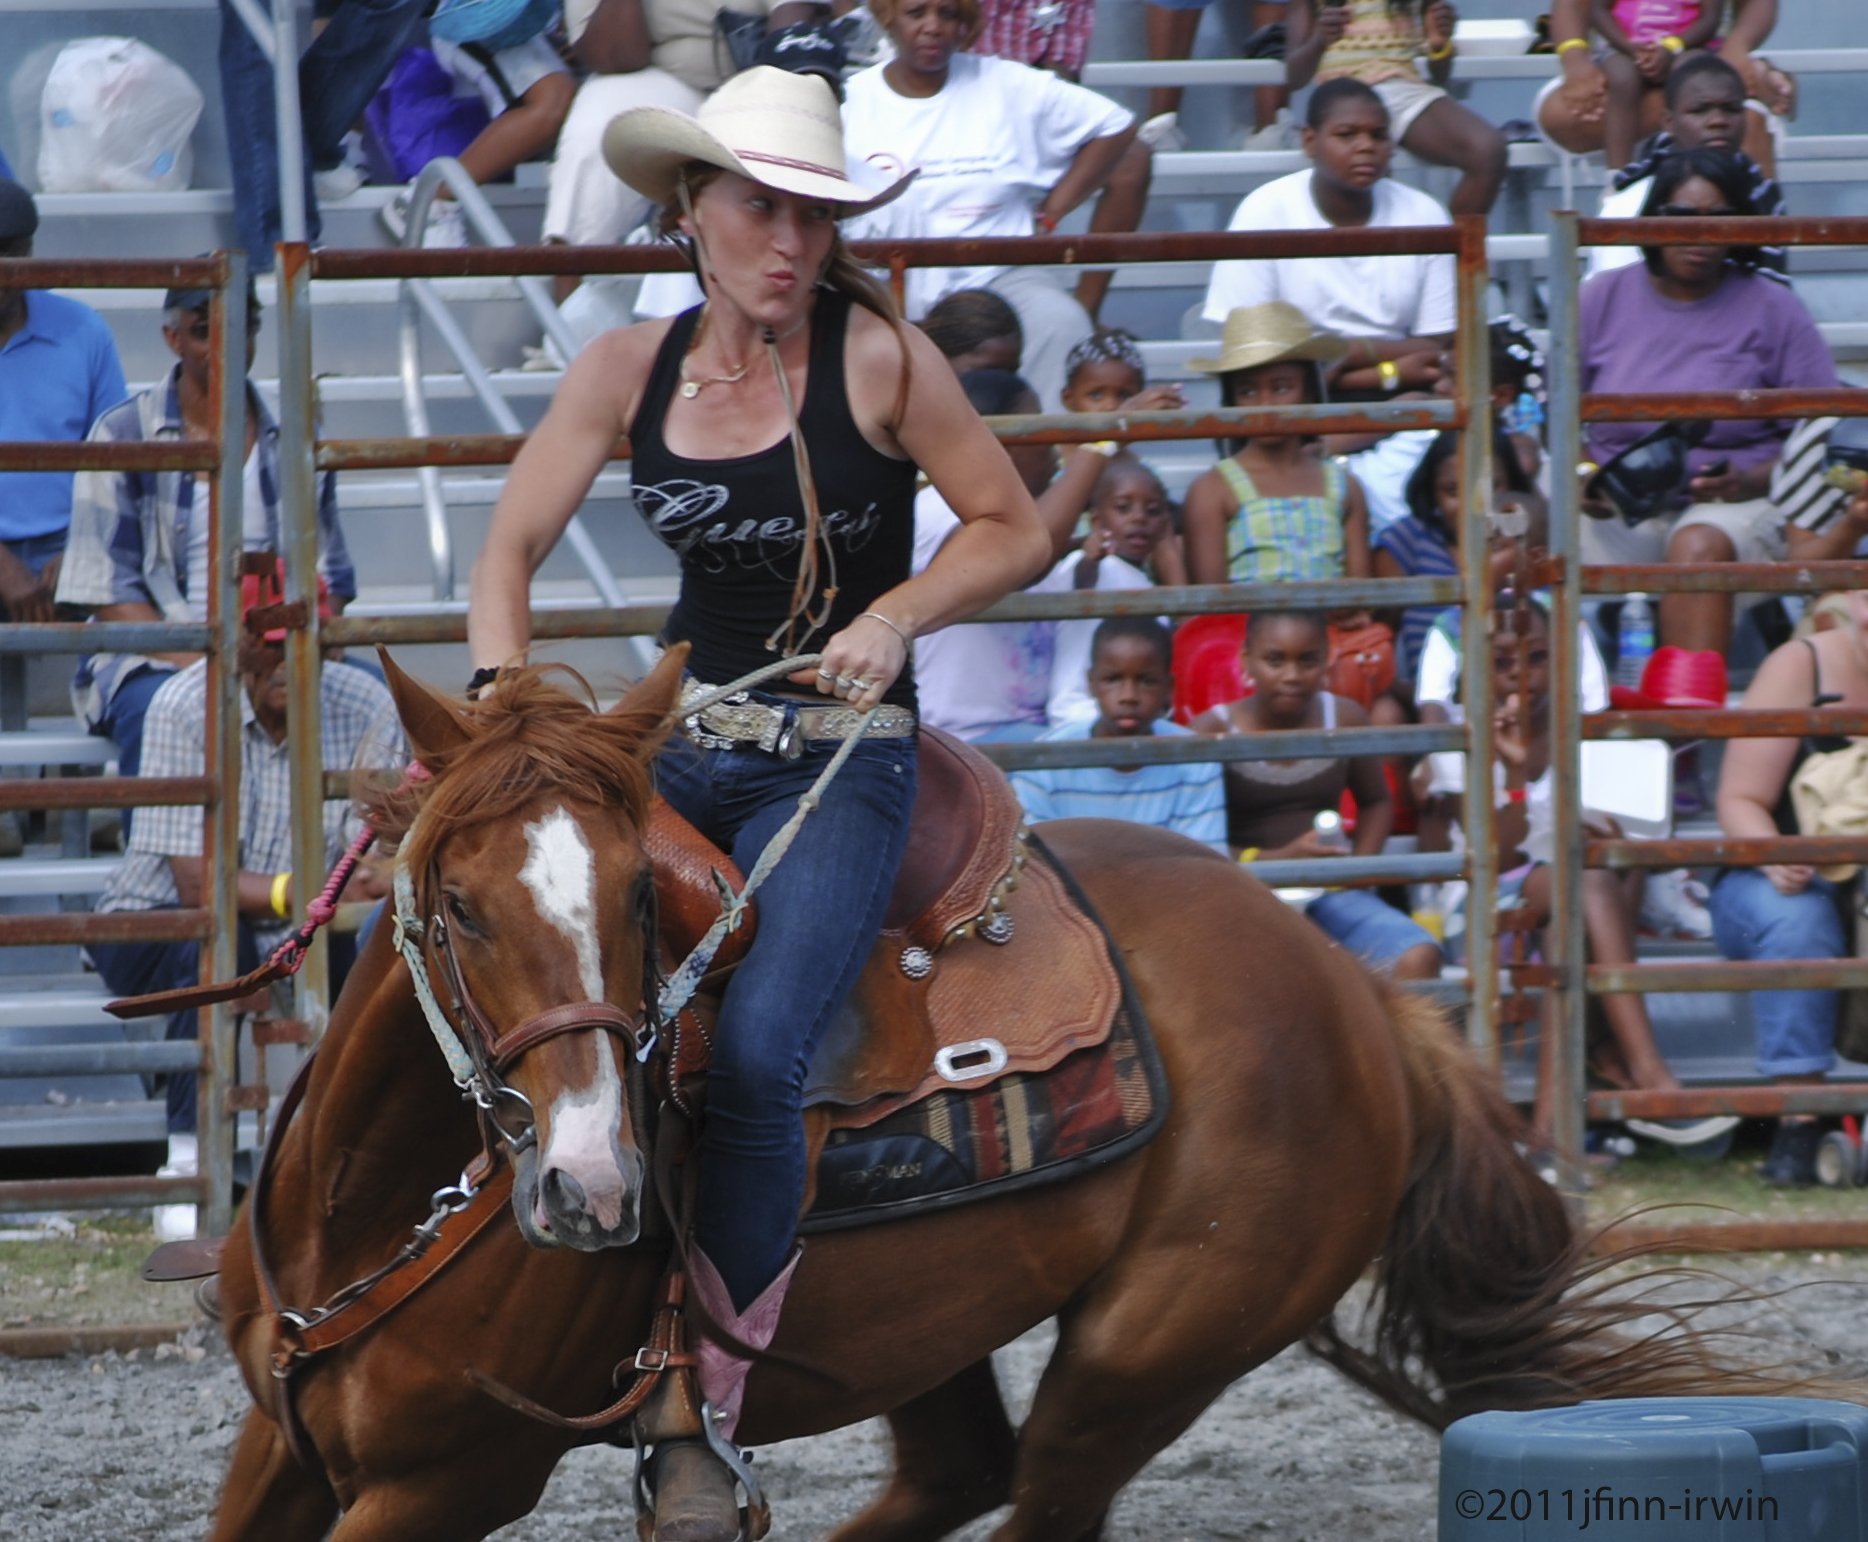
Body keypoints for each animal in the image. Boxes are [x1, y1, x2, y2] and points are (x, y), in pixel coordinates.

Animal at [214, 654, 1763, 1540]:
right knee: (954, 1471)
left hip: (1148, 1352)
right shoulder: (279, 1451)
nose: (592, 1189)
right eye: (460, 905)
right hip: (919, 1320)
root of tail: (1355, 996)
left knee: (1041, 1478)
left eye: (641, 905)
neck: (369, 1206)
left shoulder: (446, 1485)